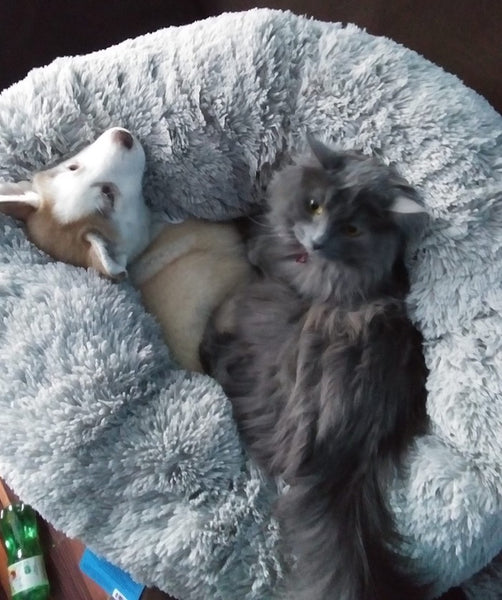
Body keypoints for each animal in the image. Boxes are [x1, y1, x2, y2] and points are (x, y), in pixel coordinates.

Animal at [202, 139, 430, 600]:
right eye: (315, 206)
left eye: (353, 230)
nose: (318, 241)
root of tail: (342, 455)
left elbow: (252, 241)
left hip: (263, 324)